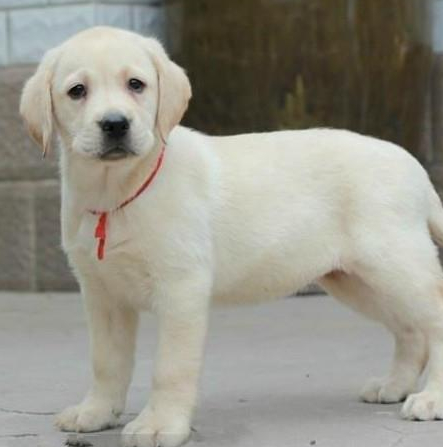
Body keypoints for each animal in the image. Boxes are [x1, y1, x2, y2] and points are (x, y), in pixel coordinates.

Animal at [20, 26, 443, 447]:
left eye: (136, 84)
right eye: (77, 91)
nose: (114, 124)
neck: (117, 191)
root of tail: (416, 168)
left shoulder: (181, 288)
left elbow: (170, 367)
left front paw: (160, 424)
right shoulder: (102, 293)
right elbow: (106, 361)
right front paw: (96, 412)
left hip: (393, 263)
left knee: (433, 319)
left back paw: (431, 399)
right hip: (356, 280)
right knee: (412, 330)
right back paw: (394, 385)